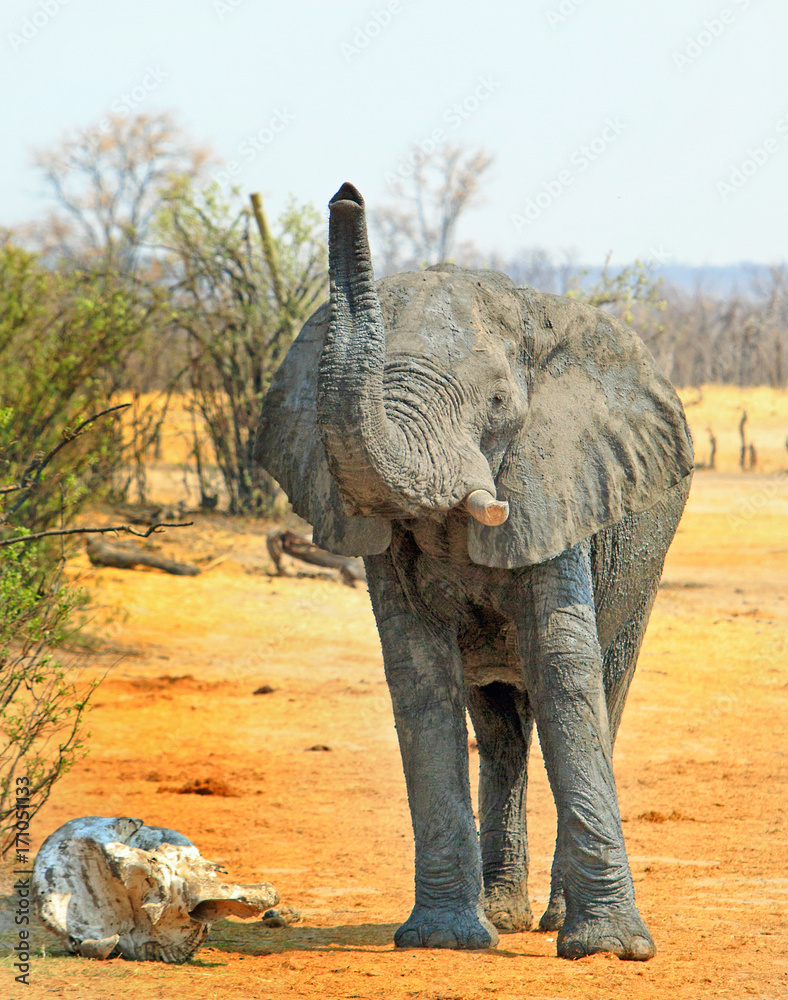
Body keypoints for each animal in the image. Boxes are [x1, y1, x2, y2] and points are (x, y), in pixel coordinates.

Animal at [255, 183, 694, 960]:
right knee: (498, 729)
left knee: (604, 691)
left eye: (496, 404)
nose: (346, 195)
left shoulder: (557, 480)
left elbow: (563, 665)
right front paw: (442, 940)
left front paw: (609, 950)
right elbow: (418, 672)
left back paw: (549, 918)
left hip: (644, 564)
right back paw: (502, 915)